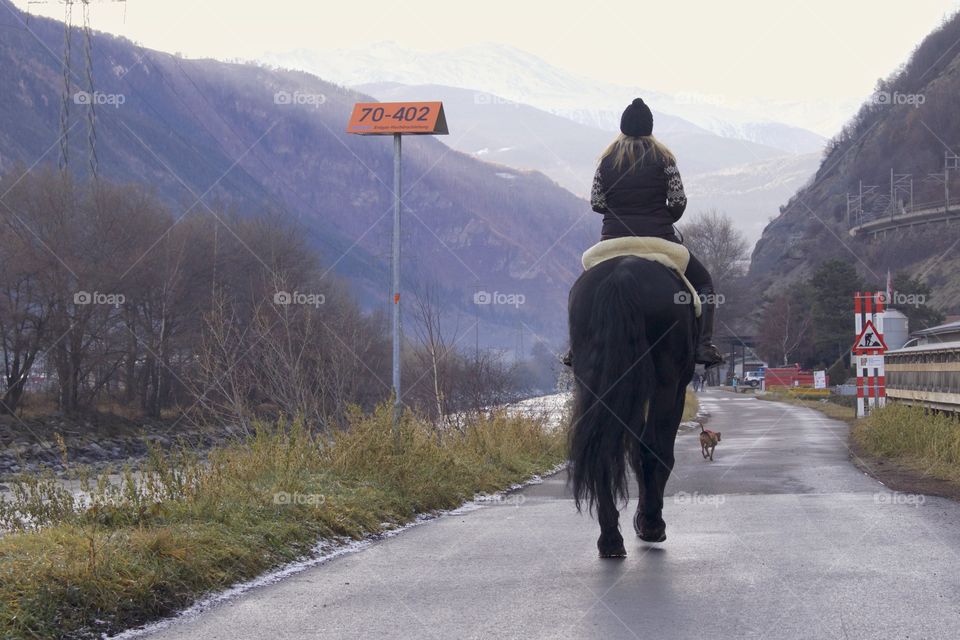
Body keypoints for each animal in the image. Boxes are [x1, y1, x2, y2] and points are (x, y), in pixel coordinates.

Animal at [568, 255, 696, 556]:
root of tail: (622, 273)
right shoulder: (675, 389)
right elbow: (655, 451)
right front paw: (647, 519)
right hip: (666, 381)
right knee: (654, 448)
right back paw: (652, 525)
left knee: (600, 447)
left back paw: (610, 539)